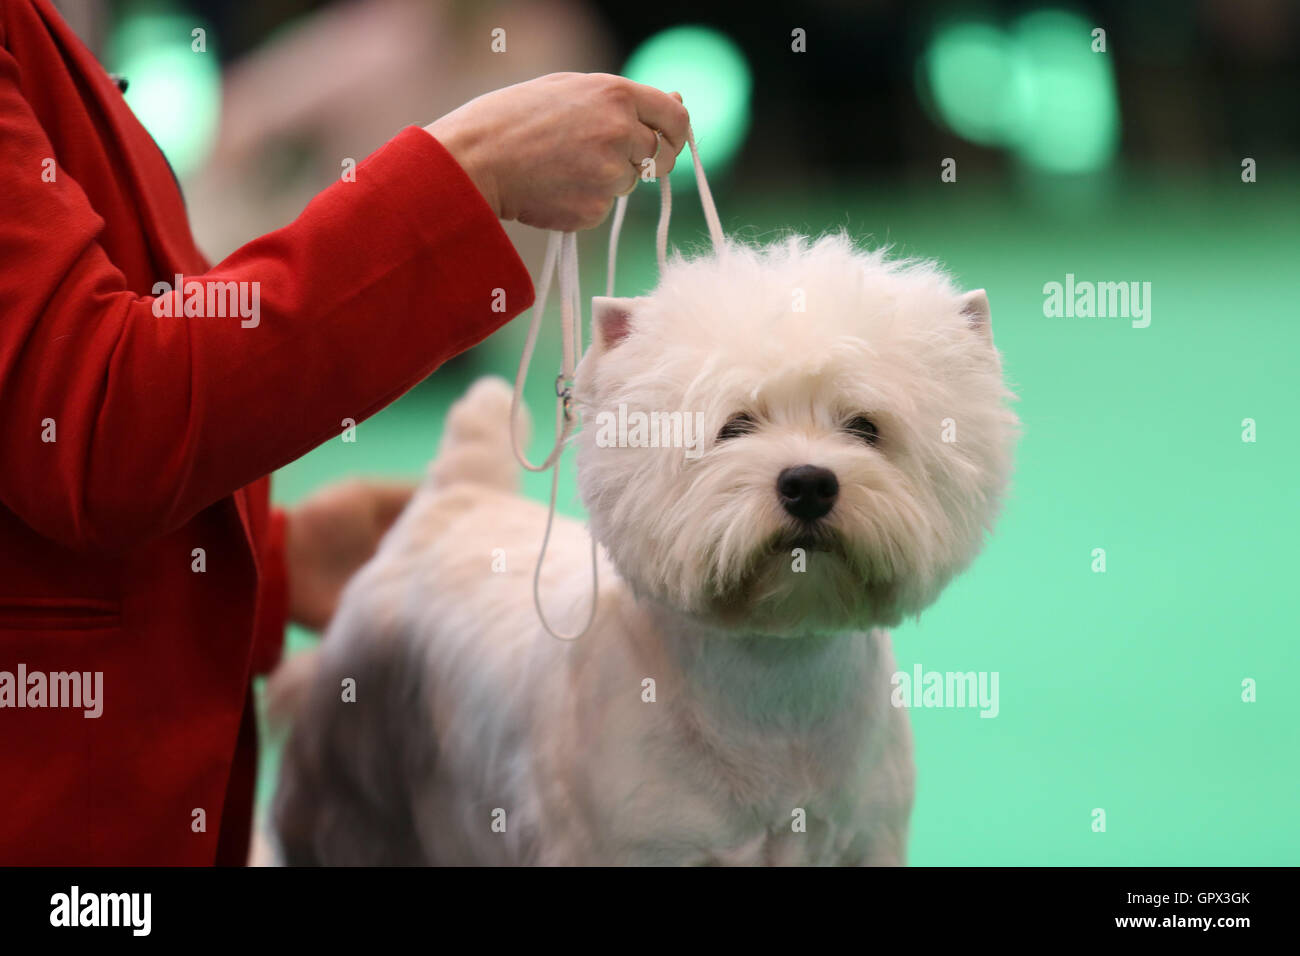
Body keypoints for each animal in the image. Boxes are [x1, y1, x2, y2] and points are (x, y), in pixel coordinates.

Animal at [274, 234, 1019, 868]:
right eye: (734, 426)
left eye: (865, 427)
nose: (808, 484)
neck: (774, 688)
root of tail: (455, 498)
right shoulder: (621, 849)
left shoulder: (864, 842)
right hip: (348, 785)